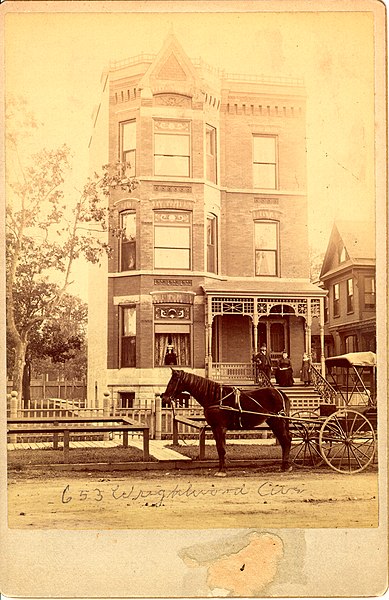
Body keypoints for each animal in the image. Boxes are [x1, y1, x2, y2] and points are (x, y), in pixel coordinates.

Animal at [161, 368, 292, 476]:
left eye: (173, 381)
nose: (164, 397)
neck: (215, 397)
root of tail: (280, 393)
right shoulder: (215, 428)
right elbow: (220, 448)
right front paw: (222, 468)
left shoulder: (220, 428)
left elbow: (221, 449)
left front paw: (222, 471)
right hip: (274, 422)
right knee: (285, 441)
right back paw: (285, 465)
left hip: (277, 421)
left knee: (285, 441)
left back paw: (285, 466)